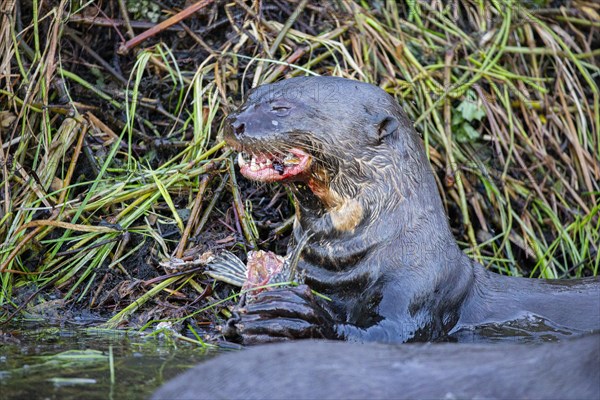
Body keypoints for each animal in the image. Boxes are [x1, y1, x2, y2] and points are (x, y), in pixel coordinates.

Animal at [221, 77, 600, 344]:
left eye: (281, 108)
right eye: (249, 95)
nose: (233, 121)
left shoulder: (418, 288)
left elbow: (390, 335)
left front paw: (295, 318)